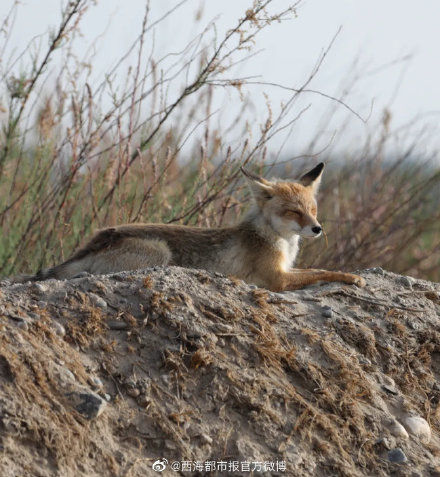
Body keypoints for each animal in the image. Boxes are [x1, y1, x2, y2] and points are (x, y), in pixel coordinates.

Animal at [19, 164, 364, 290]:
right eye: (294, 213)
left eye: (313, 211)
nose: (317, 229)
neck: (274, 239)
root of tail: (101, 236)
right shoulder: (276, 279)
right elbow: (322, 272)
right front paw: (351, 277)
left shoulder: (285, 271)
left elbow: (318, 269)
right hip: (160, 254)